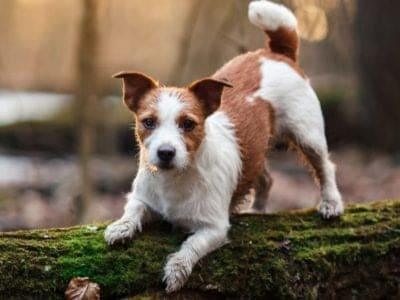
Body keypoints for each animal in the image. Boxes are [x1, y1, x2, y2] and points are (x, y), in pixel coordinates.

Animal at [104, 0, 344, 292]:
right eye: (148, 122)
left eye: (188, 124)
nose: (165, 153)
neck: (176, 179)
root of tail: (275, 53)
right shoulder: (142, 198)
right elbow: (133, 209)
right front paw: (121, 227)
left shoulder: (214, 229)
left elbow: (191, 246)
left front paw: (176, 270)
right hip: (255, 151)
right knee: (266, 179)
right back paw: (257, 210)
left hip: (307, 134)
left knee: (325, 167)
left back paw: (331, 203)